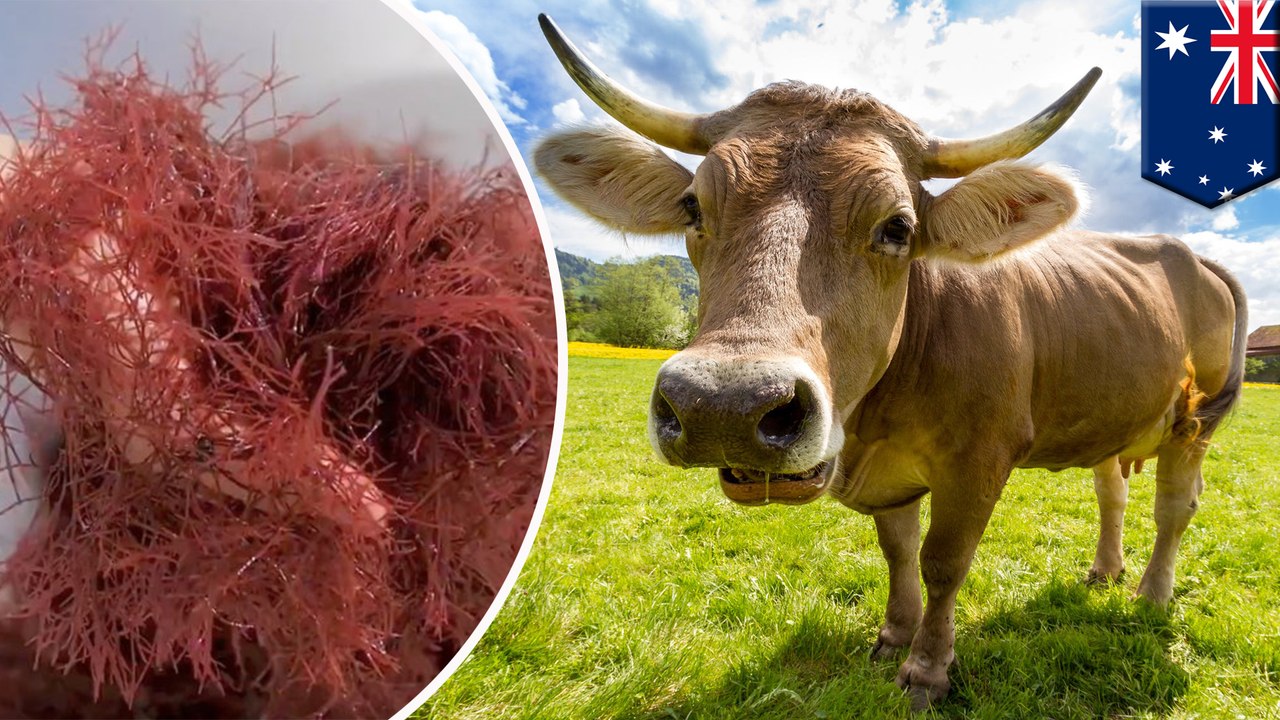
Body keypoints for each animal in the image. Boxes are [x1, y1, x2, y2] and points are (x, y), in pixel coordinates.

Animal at [532, 14, 1248, 710]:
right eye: (692, 208)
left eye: (897, 227)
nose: (725, 407)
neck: (875, 420)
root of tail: (1188, 252)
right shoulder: (890, 475)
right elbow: (898, 552)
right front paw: (892, 639)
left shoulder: (980, 459)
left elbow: (943, 562)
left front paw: (927, 669)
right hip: (1117, 411)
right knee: (1112, 489)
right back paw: (1105, 570)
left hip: (1194, 422)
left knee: (1174, 506)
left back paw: (1151, 595)